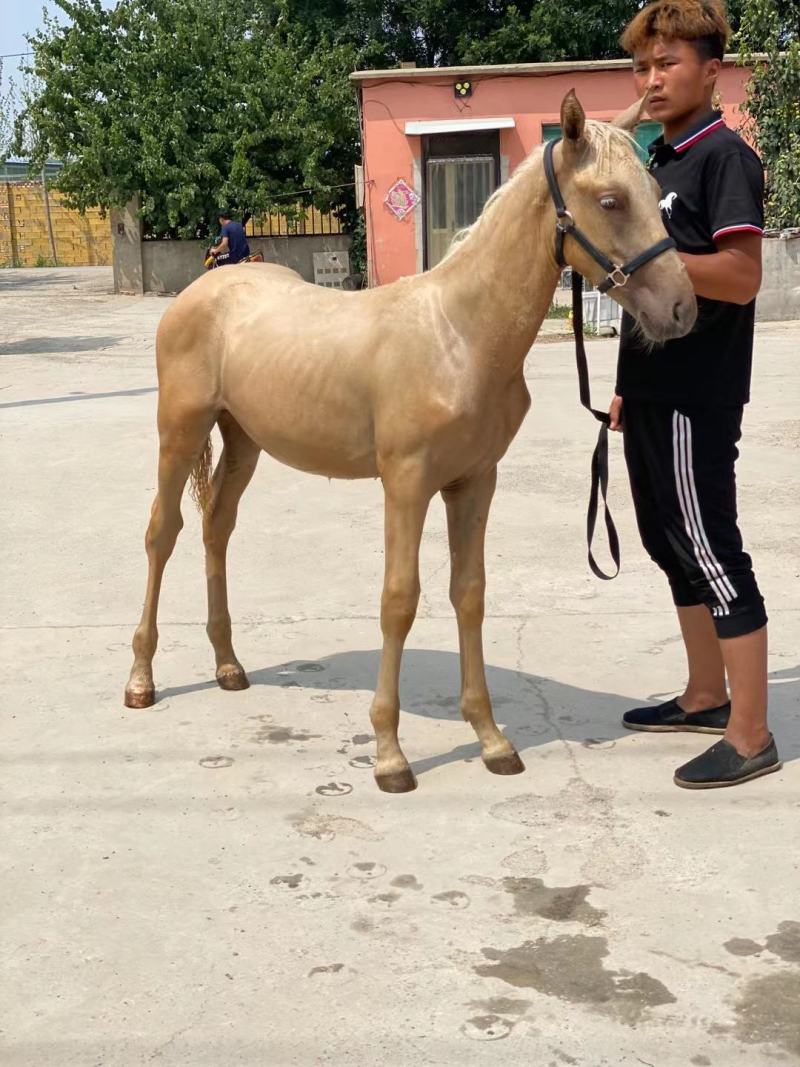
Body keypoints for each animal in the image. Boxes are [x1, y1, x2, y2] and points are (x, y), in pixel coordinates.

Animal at [124, 91, 696, 793]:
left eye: (655, 190)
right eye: (611, 200)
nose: (682, 309)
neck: (460, 335)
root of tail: (201, 290)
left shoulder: (474, 481)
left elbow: (469, 594)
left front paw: (491, 740)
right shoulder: (406, 483)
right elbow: (399, 599)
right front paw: (390, 755)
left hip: (243, 440)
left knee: (216, 528)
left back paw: (229, 665)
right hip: (179, 430)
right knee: (163, 532)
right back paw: (141, 680)